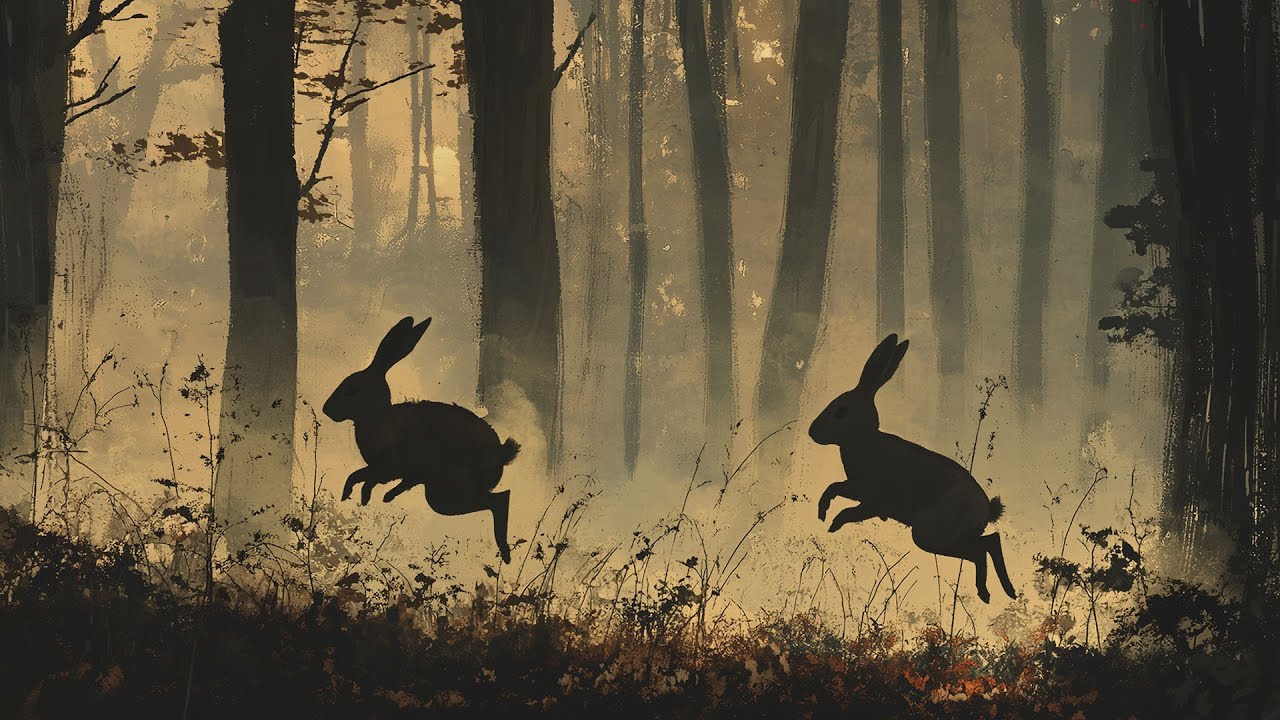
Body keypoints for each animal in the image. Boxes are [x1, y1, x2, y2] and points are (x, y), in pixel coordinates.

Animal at [323, 316, 520, 563]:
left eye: (351, 390)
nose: (326, 410)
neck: (378, 416)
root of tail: (502, 453)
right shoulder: (385, 470)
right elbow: (358, 475)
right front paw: (352, 496)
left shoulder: (388, 468)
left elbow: (367, 478)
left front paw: (363, 497)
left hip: (444, 495)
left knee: (500, 500)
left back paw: (505, 554)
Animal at [810, 334, 1016, 603]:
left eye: (841, 411)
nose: (812, 432)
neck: (865, 439)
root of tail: (986, 510)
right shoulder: (856, 489)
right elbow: (833, 488)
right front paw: (822, 513)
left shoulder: (873, 500)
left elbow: (850, 512)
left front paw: (833, 524)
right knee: (988, 544)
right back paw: (997, 593)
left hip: (930, 535)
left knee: (982, 548)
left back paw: (993, 592)